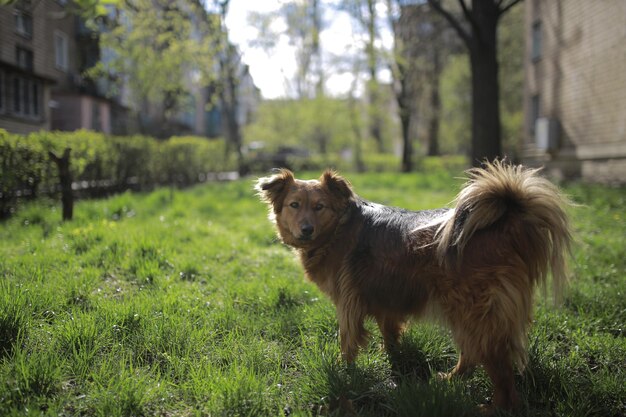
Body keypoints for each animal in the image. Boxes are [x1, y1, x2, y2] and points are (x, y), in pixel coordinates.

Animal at [255, 161, 572, 412]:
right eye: (294, 205)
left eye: (319, 207)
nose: (306, 230)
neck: (338, 228)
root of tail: (506, 222)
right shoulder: (385, 299)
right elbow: (390, 334)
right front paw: (394, 361)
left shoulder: (348, 302)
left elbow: (347, 343)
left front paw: (344, 374)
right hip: (464, 312)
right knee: (471, 353)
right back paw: (451, 379)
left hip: (475, 311)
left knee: (500, 370)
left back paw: (494, 408)